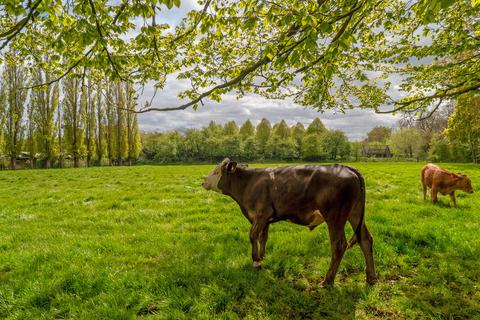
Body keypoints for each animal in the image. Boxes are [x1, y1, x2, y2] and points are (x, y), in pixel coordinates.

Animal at [201, 159, 376, 286]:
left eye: (216, 171)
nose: (203, 182)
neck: (249, 183)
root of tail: (347, 167)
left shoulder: (261, 213)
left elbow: (252, 236)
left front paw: (256, 262)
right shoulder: (265, 219)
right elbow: (263, 237)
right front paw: (262, 256)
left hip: (335, 216)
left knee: (339, 245)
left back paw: (327, 281)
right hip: (355, 213)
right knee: (365, 240)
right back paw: (371, 278)